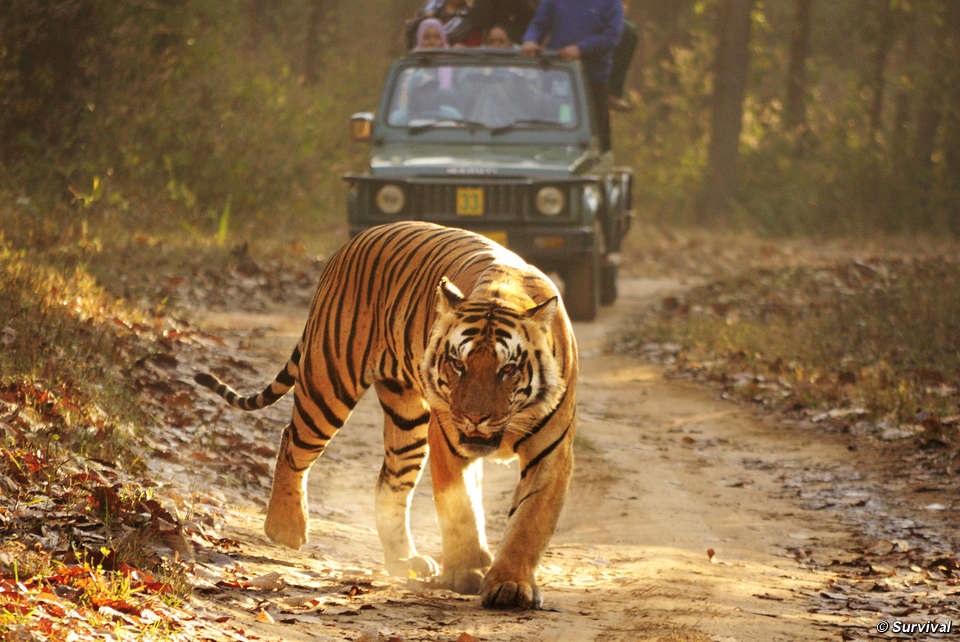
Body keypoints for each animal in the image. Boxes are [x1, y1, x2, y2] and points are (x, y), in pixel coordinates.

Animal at [191, 222, 572, 608]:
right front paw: (467, 572)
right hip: (329, 383)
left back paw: (404, 560)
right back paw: (286, 528)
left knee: (390, 482)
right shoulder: (449, 440)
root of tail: (352, 242)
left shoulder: (550, 450)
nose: (474, 417)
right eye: (457, 364)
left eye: (508, 369)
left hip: (407, 420)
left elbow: (530, 520)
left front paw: (510, 585)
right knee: (292, 442)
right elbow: (460, 507)